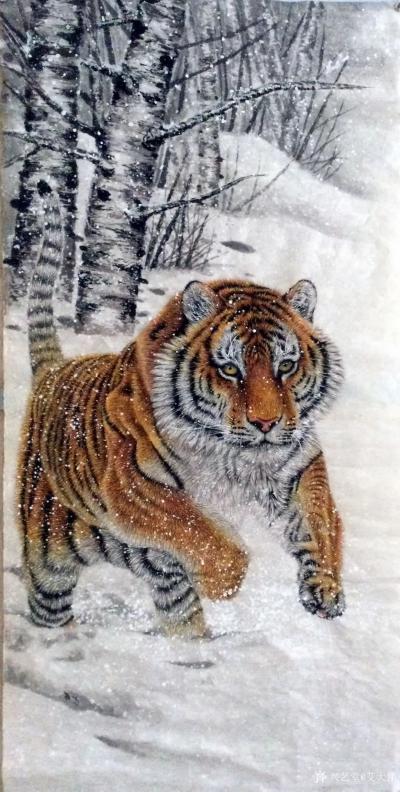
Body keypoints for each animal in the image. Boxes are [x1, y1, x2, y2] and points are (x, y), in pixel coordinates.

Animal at [17, 182, 345, 638]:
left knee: (178, 612)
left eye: (285, 366)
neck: (239, 458)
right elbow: (194, 526)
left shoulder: (301, 463)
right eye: (230, 369)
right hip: (49, 564)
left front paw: (326, 589)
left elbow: (320, 518)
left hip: (159, 580)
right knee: (50, 604)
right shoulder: (130, 482)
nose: (265, 423)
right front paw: (224, 581)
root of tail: (53, 371)